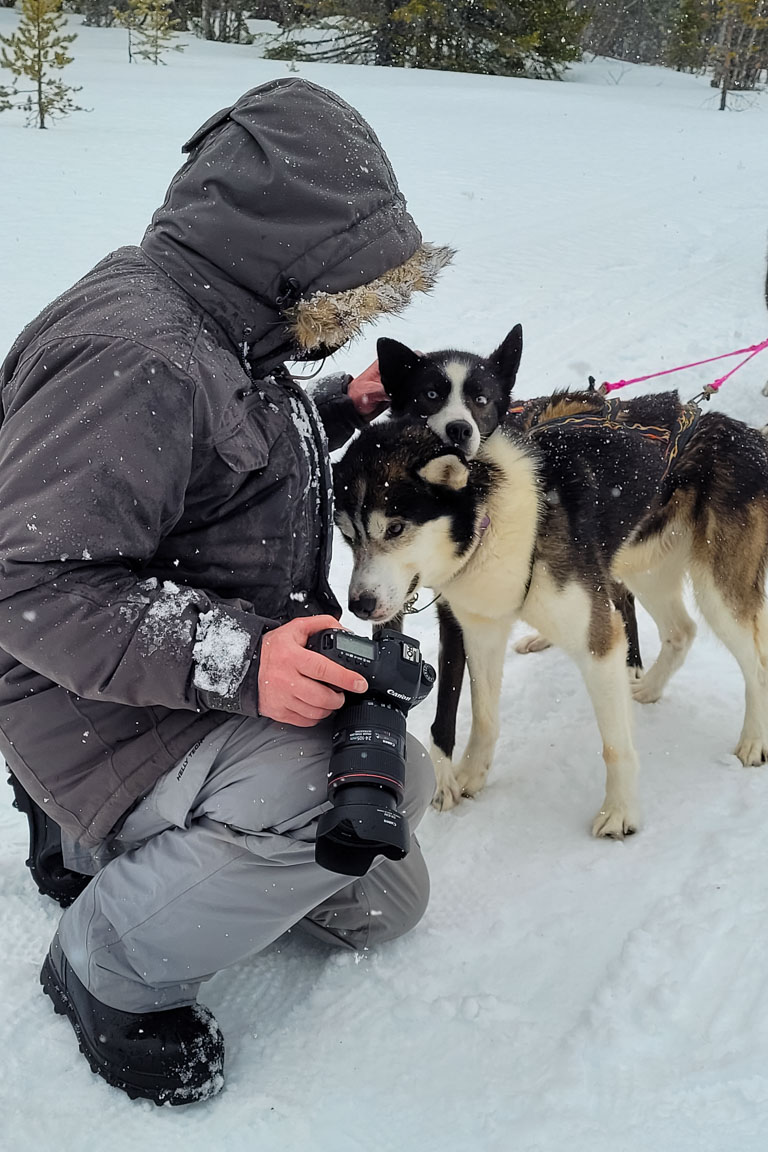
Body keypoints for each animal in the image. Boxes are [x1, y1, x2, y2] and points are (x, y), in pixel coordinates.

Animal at [336, 387, 768, 838]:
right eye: (346, 535)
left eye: (396, 528)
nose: (359, 604)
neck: (493, 518)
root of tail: (746, 434)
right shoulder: (481, 631)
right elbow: (484, 716)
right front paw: (472, 775)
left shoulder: (599, 643)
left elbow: (615, 746)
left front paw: (620, 812)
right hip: (645, 570)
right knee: (682, 630)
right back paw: (648, 688)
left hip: (718, 593)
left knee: (756, 665)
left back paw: (754, 740)